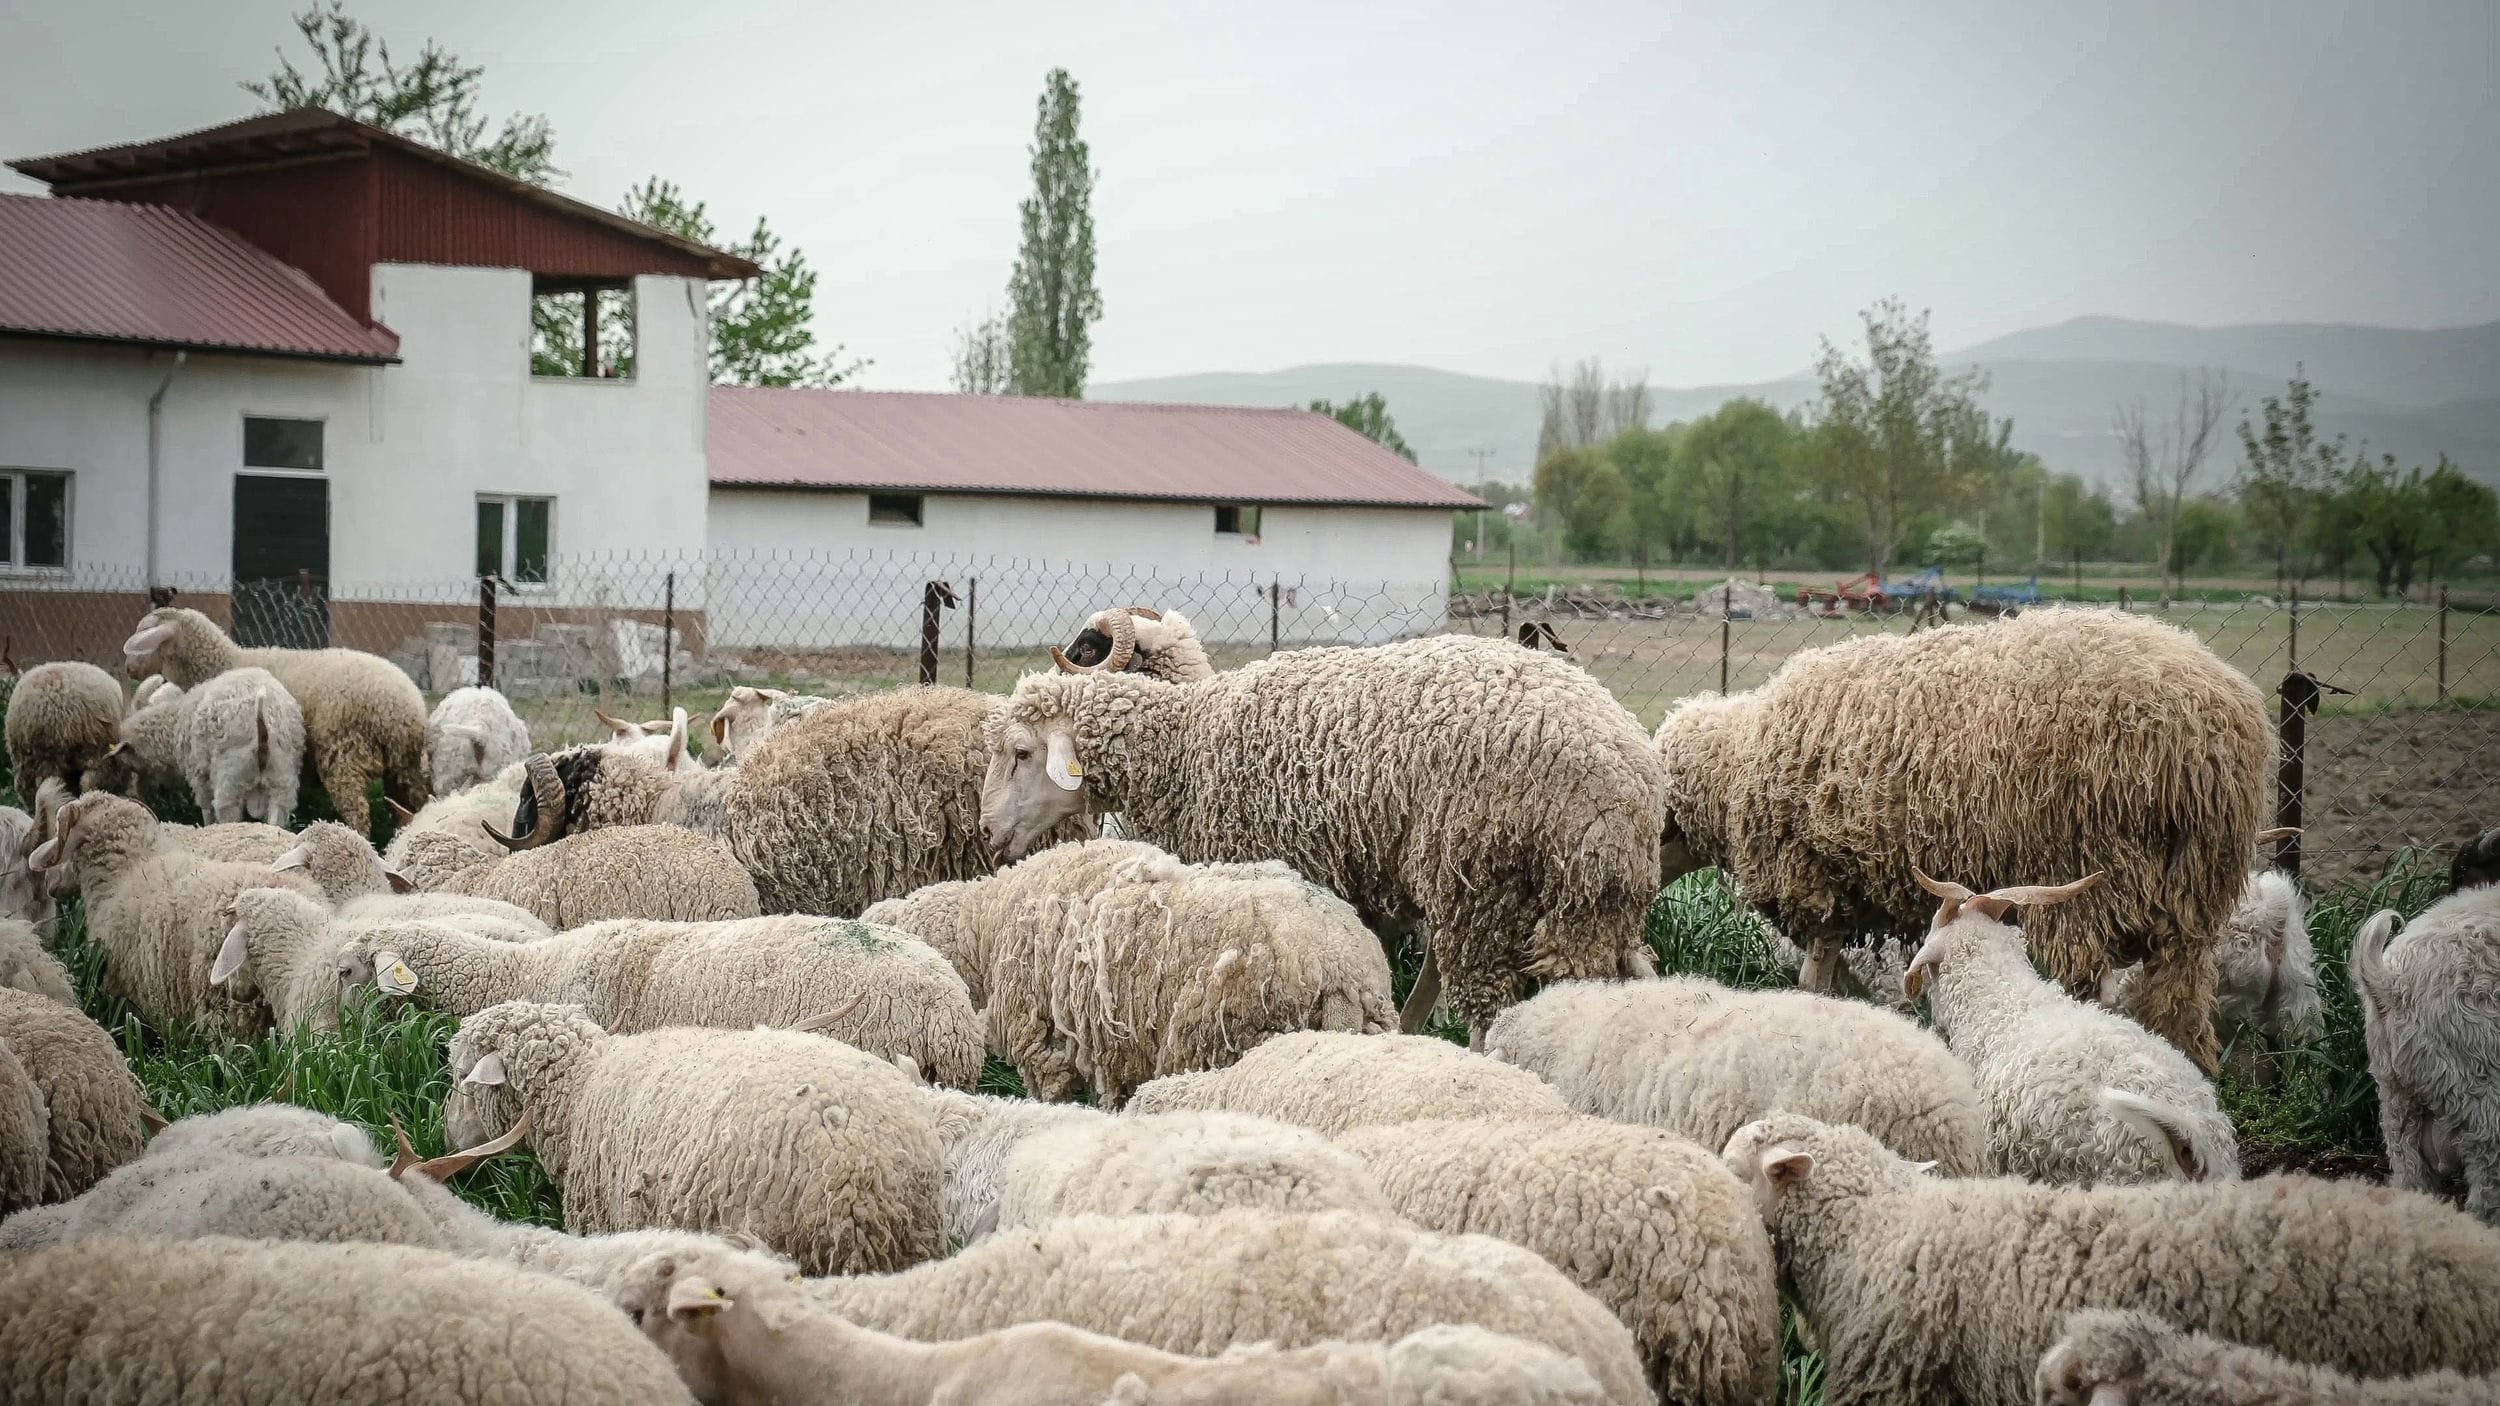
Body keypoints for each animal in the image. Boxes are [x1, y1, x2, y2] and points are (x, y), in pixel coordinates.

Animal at [120, 605, 430, 835]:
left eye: (143, 639)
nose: (128, 669)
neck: (227, 662)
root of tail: (401, 707)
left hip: (344, 755)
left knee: (358, 812)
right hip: (404, 766)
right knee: (415, 803)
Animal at [981, 634, 1670, 1044]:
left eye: (1021, 752)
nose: (987, 832)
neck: (1186, 748)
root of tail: (1624, 777)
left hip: (1480, 881)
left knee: (1487, 1003)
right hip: (1593, 902)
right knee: (1607, 979)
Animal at [1652, 608, 2273, 1071]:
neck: (1738, 764)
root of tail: (2215, 733)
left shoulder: (1817, 879)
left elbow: (1813, 979)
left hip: (2092, 872)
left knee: (2085, 982)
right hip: (2191, 894)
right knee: (2179, 1002)